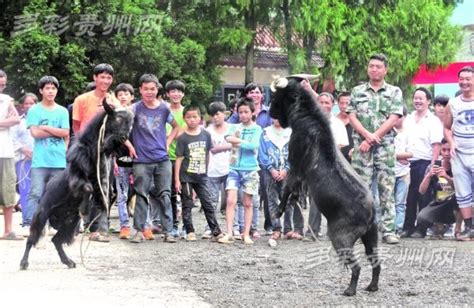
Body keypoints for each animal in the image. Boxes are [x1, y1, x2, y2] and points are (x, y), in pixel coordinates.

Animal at [19, 101, 132, 270]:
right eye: (117, 118)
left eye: (130, 123)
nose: (124, 137)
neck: (93, 153)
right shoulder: (77, 179)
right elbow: (87, 188)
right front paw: (85, 209)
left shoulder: (102, 184)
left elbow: (105, 196)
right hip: (41, 215)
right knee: (32, 239)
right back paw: (24, 263)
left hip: (70, 223)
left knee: (56, 240)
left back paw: (69, 261)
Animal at [268, 77, 380, 296]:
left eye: (277, 97)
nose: (269, 113)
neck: (308, 118)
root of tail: (370, 212)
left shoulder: (295, 166)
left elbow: (287, 188)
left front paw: (278, 211)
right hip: (371, 237)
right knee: (376, 263)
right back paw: (372, 287)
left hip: (340, 237)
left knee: (356, 266)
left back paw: (350, 290)